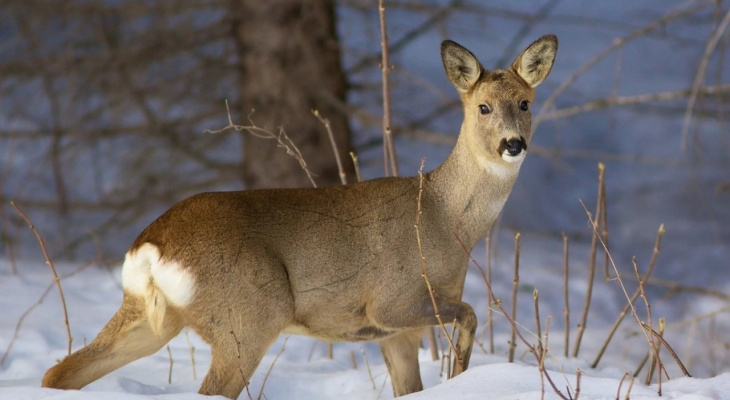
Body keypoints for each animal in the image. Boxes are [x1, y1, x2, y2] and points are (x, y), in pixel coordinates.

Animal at [41, 36, 556, 398]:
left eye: (526, 103)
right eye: (482, 106)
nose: (513, 144)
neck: (443, 218)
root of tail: (151, 245)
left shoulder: (396, 333)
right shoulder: (391, 301)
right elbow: (469, 314)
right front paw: (462, 373)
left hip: (151, 317)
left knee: (59, 371)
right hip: (248, 316)